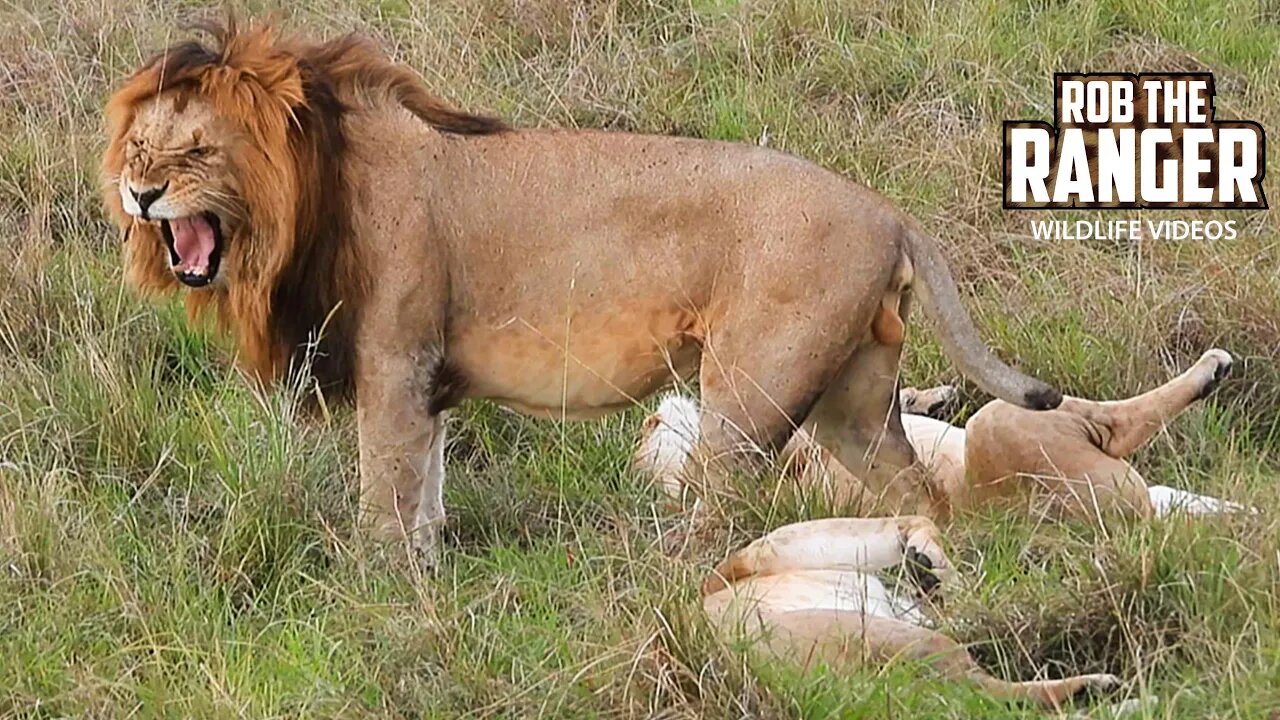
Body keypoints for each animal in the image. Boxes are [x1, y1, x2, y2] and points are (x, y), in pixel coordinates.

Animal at [99, 19, 1059, 558]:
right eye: (140, 148)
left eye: (194, 151)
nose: (140, 194)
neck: (303, 198)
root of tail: (890, 211)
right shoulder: (426, 380)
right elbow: (427, 492)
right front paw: (426, 569)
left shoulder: (396, 360)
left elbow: (387, 490)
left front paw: (379, 586)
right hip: (853, 401)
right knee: (922, 496)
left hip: (749, 393)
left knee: (725, 506)